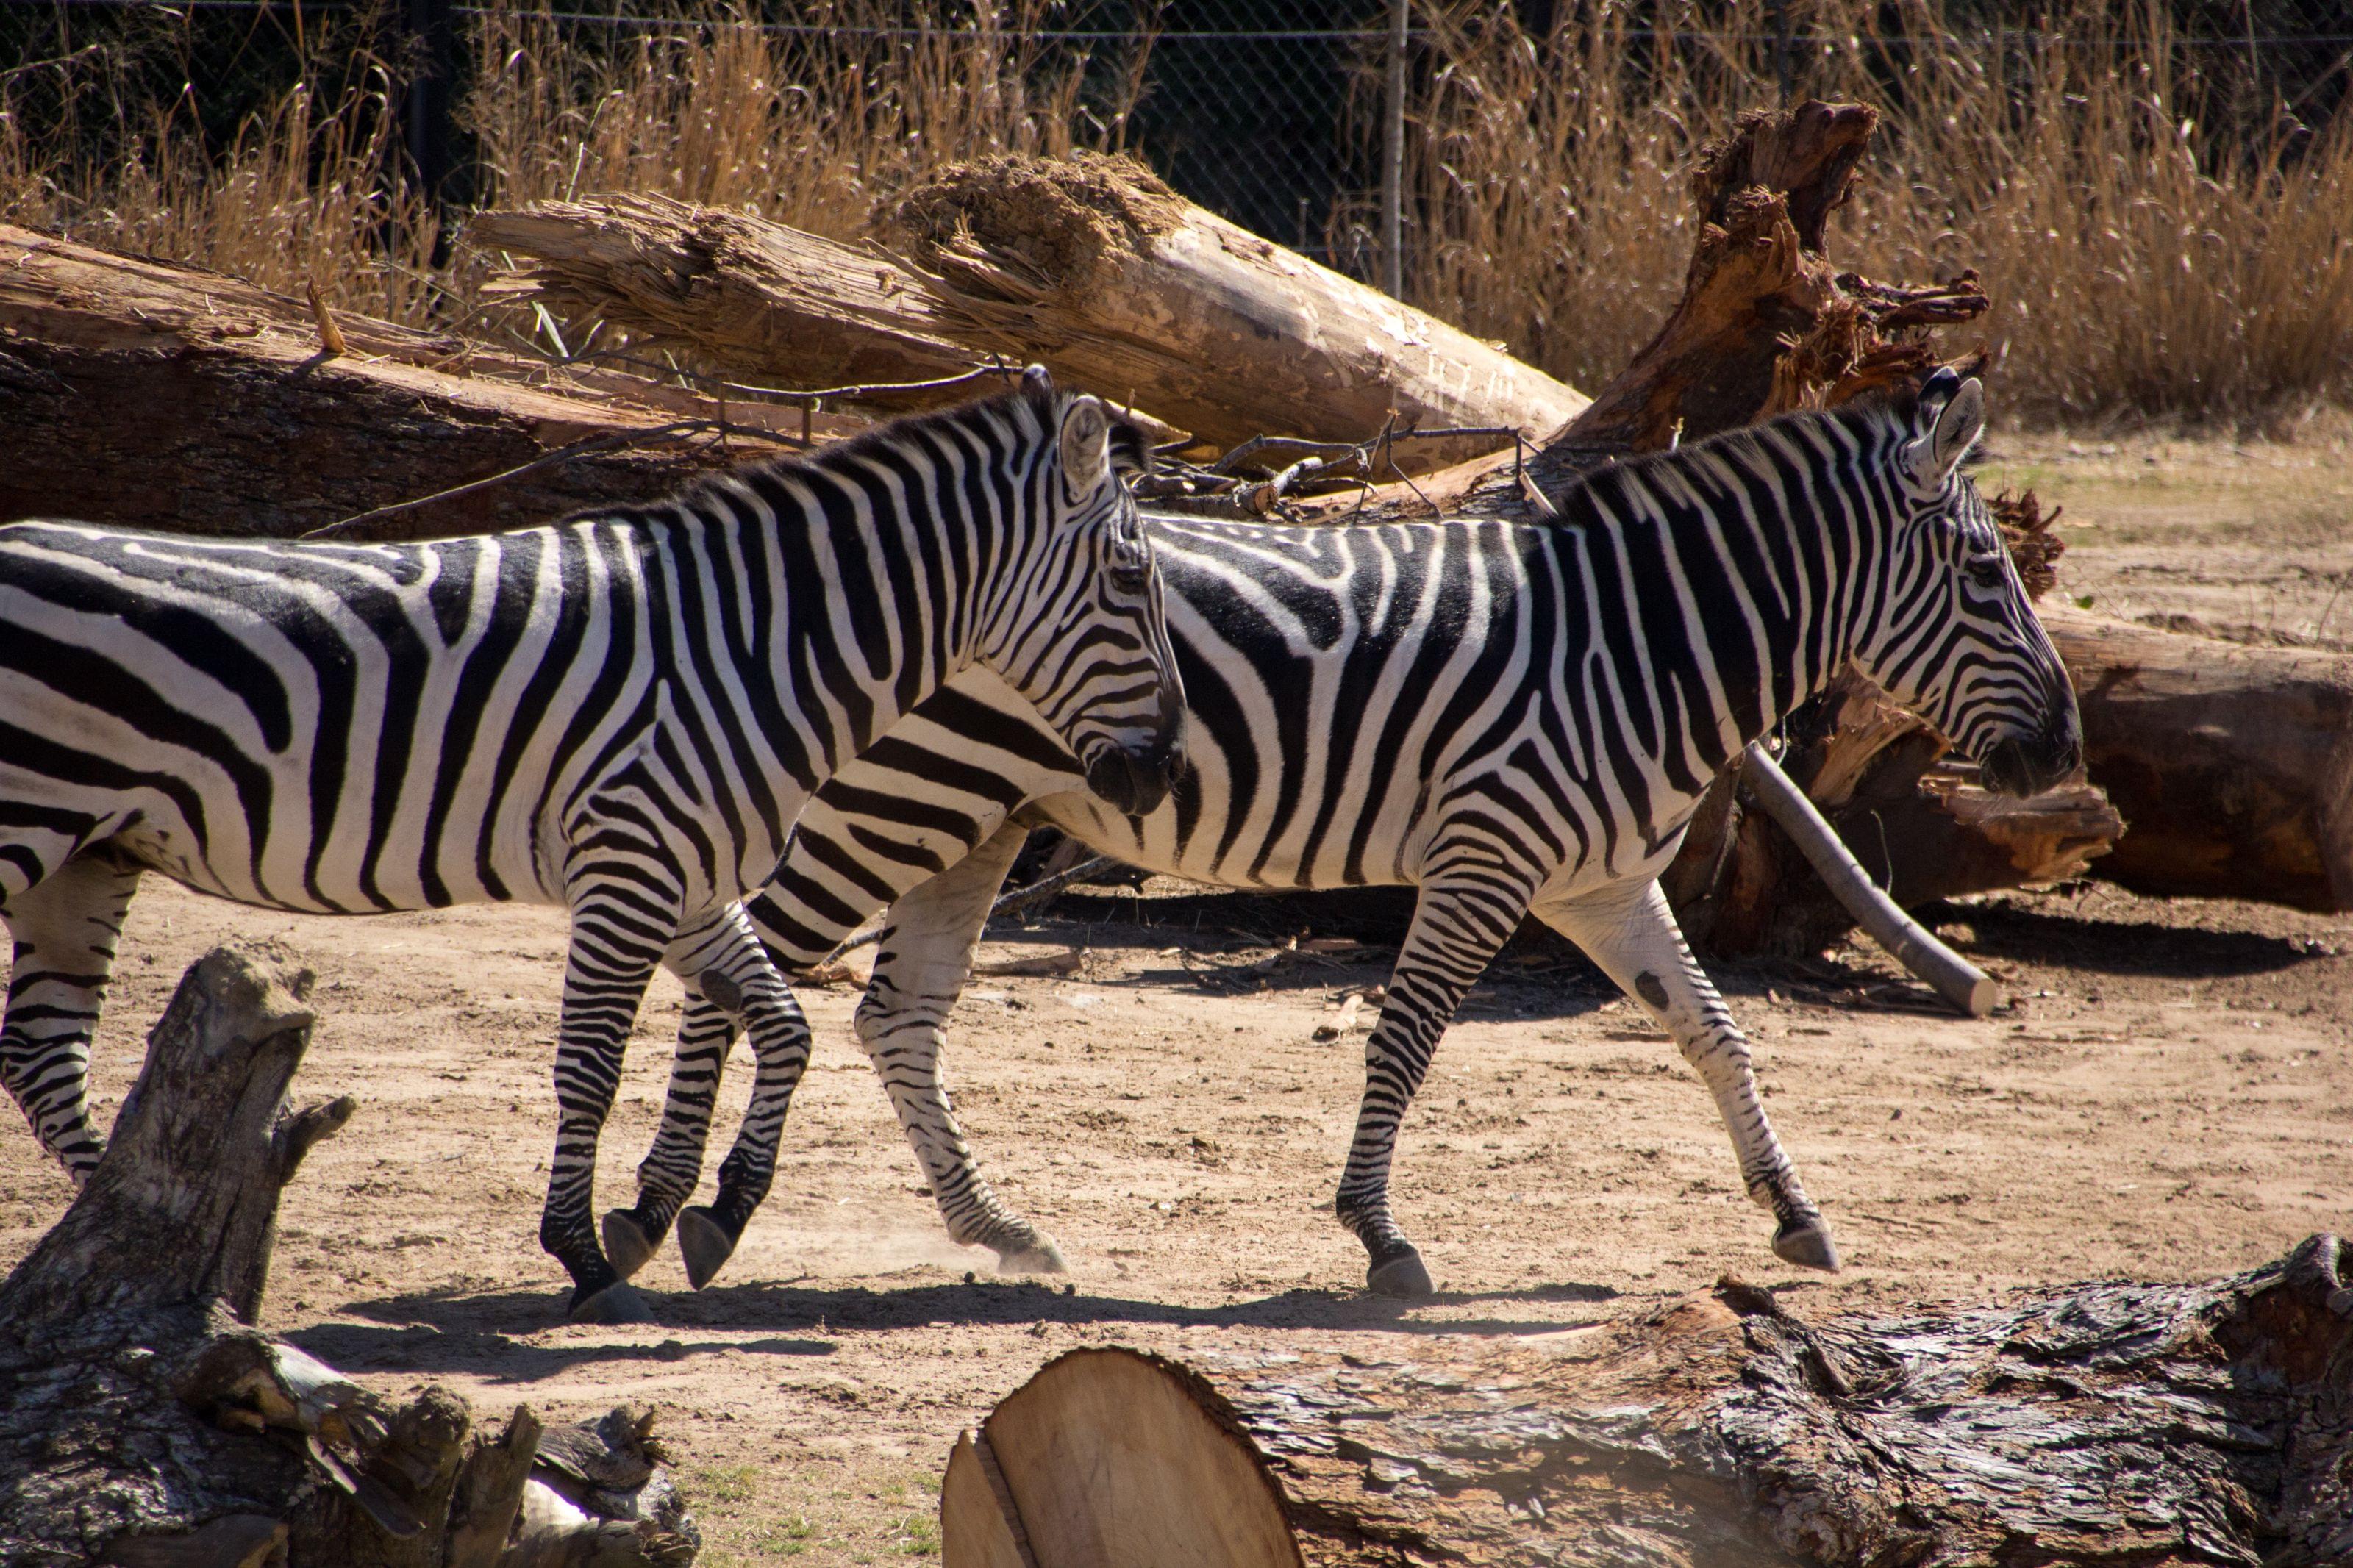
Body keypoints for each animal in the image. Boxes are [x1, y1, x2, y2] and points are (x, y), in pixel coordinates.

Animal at [0, 373, 1176, 1316]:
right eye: (1133, 581)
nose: (1162, 773)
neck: (755, 644)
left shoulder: (690, 876)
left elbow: (784, 1024)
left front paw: (709, 1213)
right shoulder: (630, 863)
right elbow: (593, 1065)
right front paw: (584, 1256)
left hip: (89, 855)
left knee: (44, 1058)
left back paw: (146, 1254)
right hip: (32, 821)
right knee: (44, 1055)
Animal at [602, 369, 2079, 1297]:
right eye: (1985, 572)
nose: (2063, 751)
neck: (1637, 644)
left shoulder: (1602, 882)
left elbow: (1714, 1031)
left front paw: (1795, 1214)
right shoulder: (1490, 856)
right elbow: (1409, 1035)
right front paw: (1378, 1236)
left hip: (979, 817)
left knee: (893, 1014)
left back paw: (995, 1229)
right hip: (902, 796)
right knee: (744, 970)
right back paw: (674, 1213)